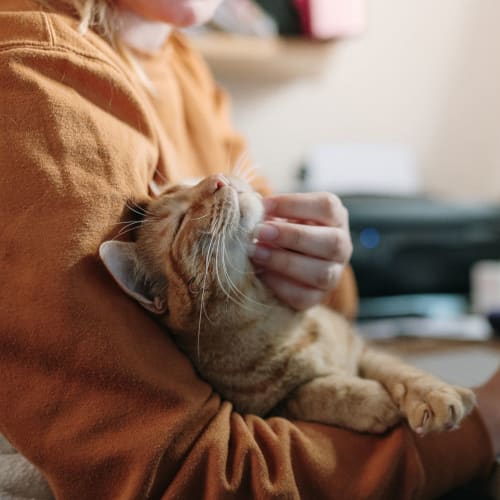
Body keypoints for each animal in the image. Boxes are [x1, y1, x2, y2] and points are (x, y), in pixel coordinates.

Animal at [98, 173, 476, 434]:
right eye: (179, 223)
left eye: (194, 180)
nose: (218, 179)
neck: (275, 322)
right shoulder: (266, 409)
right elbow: (316, 391)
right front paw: (371, 401)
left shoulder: (362, 348)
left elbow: (401, 370)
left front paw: (434, 394)